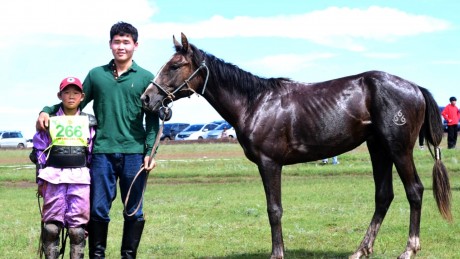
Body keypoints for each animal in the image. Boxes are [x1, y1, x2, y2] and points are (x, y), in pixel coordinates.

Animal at [141, 33, 452, 258]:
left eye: (174, 66)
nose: (147, 99)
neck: (255, 103)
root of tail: (415, 87)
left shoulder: (270, 164)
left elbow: (274, 209)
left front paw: (277, 254)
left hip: (399, 150)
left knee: (415, 191)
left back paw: (409, 249)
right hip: (379, 149)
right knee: (383, 196)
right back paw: (361, 250)